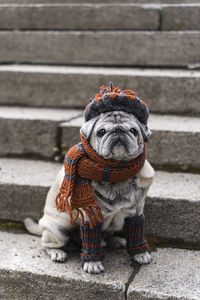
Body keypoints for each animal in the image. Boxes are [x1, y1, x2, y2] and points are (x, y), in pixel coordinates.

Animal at [24, 110, 154, 274]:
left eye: (133, 131)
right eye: (101, 132)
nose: (118, 130)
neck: (117, 176)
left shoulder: (136, 213)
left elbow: (136, 235)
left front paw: (140, 254)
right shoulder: (90, 217)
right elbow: (91, 242)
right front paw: (93, 263)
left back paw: (113, 241)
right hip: (58, 230)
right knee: (46, 244)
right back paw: (57, 252)